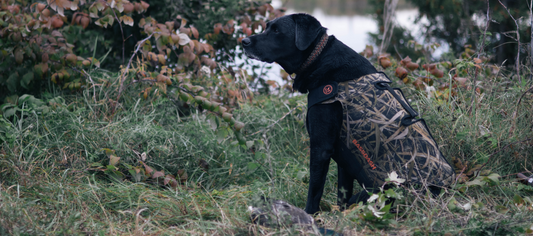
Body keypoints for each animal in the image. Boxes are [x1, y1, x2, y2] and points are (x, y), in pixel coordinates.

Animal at [241, 13, 454, 215]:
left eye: (276, 31)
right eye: (267, 27)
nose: (244, 41)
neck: (319, 58)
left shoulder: (321, 147)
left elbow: (315, 189)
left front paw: (310, 215)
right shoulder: (344, 153)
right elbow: (342, 193)